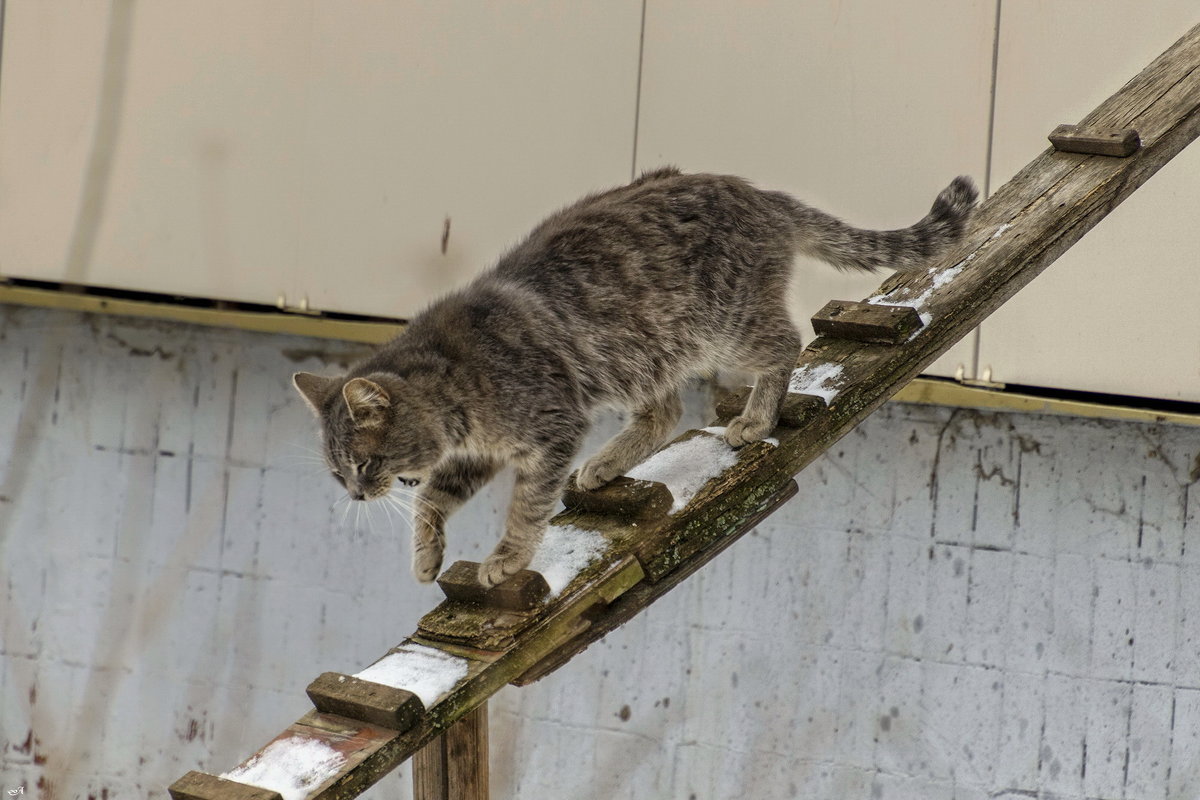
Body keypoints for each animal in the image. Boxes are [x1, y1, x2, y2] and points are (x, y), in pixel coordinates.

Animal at [290, 165, 974, 585]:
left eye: (363, 464)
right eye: (339, 473)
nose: (356, 495)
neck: (458, 390)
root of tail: (757, 192)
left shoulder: (551, 428)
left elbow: (526, 507)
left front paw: (507, 558)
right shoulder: (481, 452)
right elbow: (433, 497)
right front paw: (427, 556)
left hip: (724, 326)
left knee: (785, 345)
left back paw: (754, 419)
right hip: (644, 356)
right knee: (665, 412)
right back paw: (606, 464)